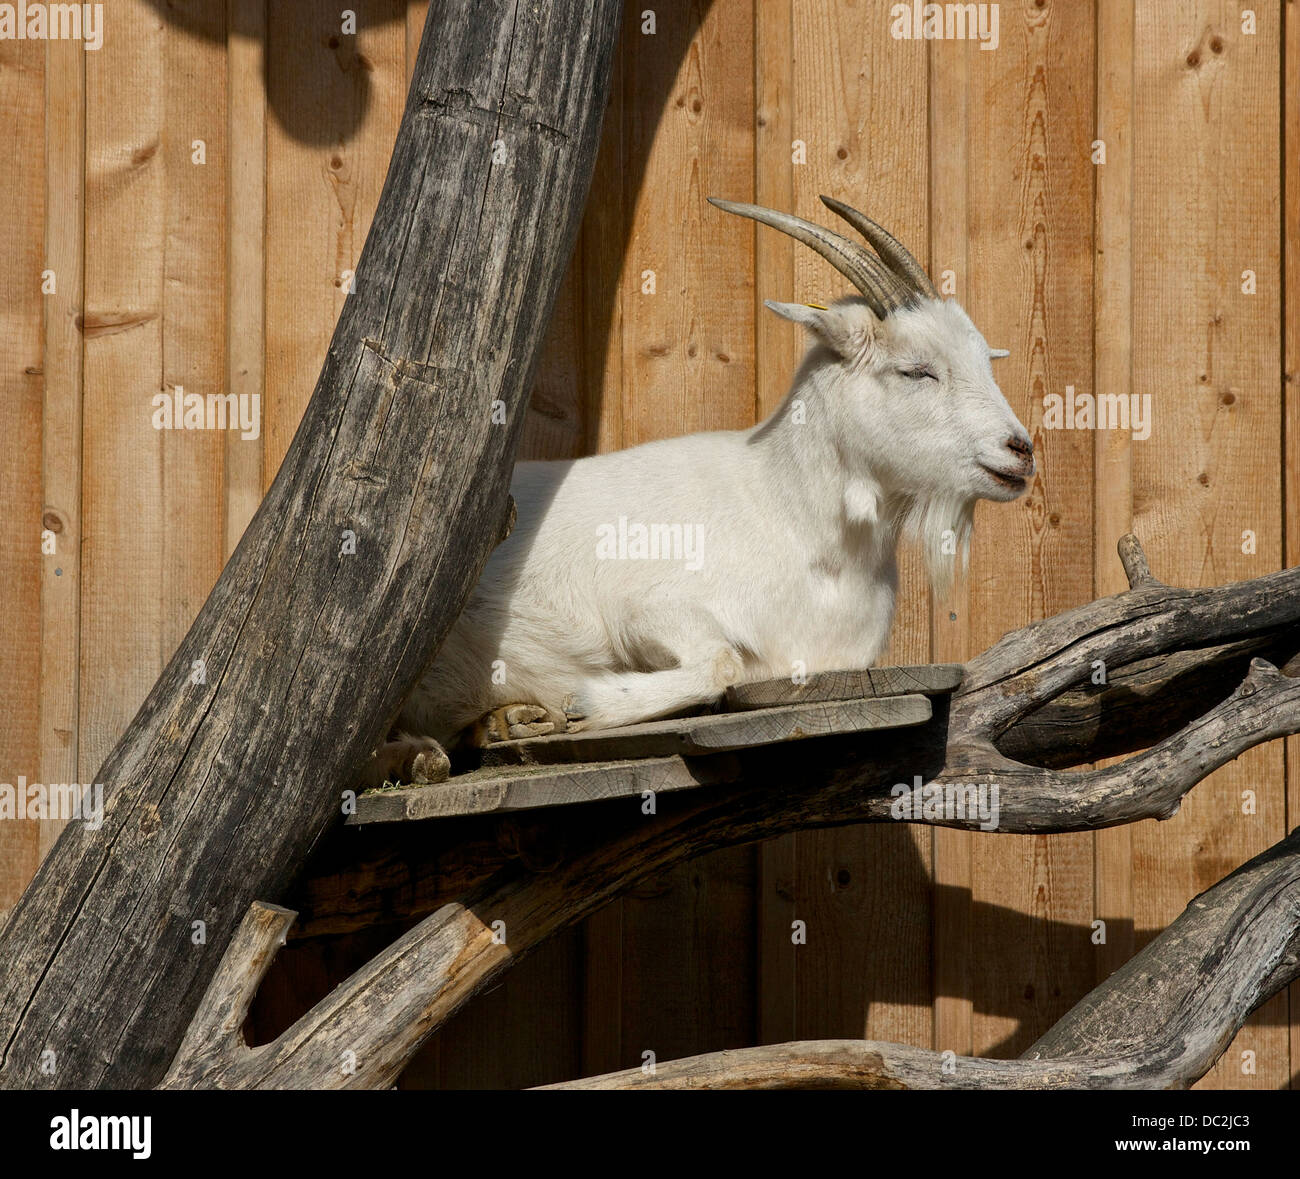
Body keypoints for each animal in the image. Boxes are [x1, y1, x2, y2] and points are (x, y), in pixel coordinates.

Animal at [366, 196, 1034, 785]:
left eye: (984, 360)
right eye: (916, 370)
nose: (1020, 450)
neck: (790, 519)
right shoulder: (644, 606)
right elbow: (721, 661)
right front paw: (584, 701)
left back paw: (501, 724)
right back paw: (427, 754)